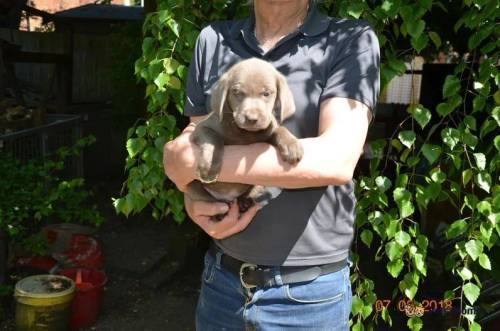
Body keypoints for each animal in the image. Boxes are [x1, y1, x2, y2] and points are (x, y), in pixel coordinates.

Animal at [186, 58, 302, 219]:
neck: (245, 133)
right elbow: (214, 139)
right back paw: (220, 212)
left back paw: (244, 203)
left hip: (258, 184)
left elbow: (279, 129)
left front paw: (292, 145)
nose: (251, 118)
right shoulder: (201, 128)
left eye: (266, 93)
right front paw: (209, 168)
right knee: (211, 200)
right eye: (236, 92)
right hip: (192, 186)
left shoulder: (268, 129)